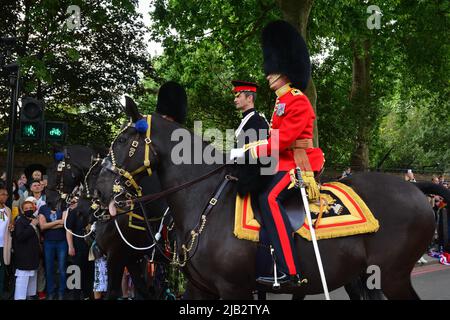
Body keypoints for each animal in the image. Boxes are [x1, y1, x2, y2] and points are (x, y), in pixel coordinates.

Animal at [96, 101, 448, 298]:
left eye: (123, 140)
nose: (99, 188)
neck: (205, 201)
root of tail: (415, 189)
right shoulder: (200, 288)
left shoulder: (234, 289)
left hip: (392, 276)